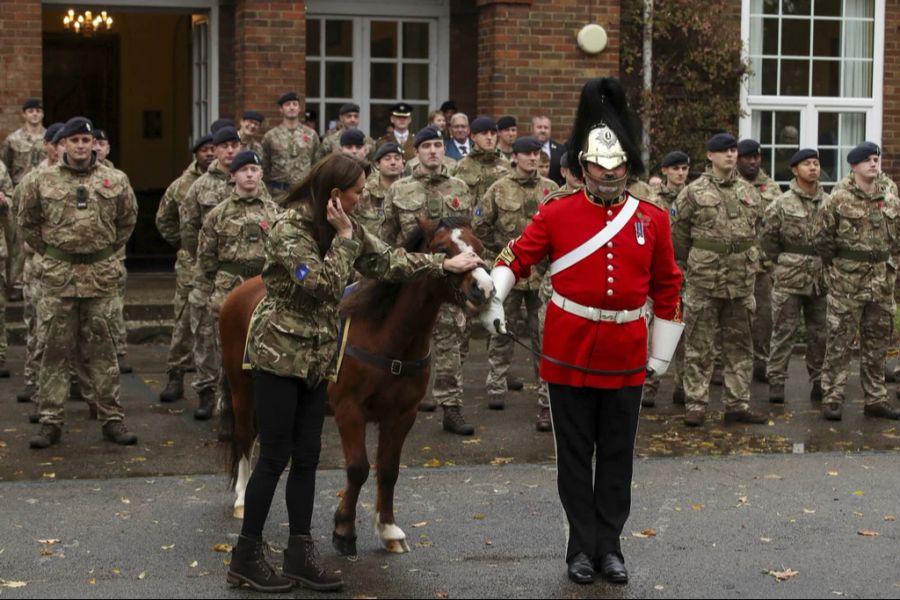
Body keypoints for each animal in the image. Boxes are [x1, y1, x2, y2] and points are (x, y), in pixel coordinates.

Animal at [222, 214, 496, 552]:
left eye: (479, 246)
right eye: (444, 248)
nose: (484, 288)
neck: (388, 338)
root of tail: (239, 292)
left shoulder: (402, 414)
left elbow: (388, 470)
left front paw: (388, 528)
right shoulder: (349, 410)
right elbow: (358, 468)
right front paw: (344, 528)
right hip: (242, 390)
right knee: (245, 435)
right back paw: (242, 497)